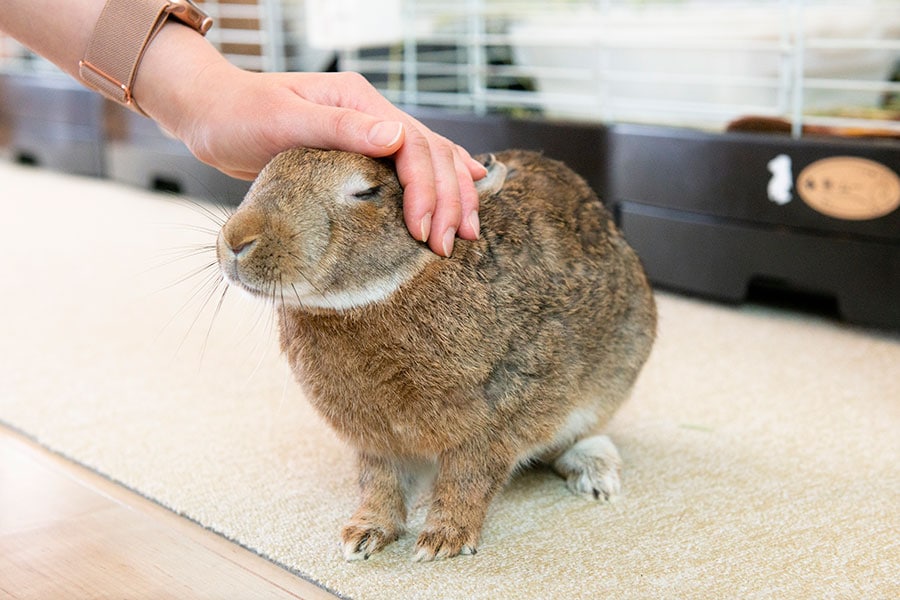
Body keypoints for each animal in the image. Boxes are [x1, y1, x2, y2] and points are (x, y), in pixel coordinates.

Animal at [216, 148, 652, 560]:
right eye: (264, 172)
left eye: (367, 192)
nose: (238, 241)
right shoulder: (377, 441)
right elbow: (380, 484)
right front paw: (364, 535)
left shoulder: (495, 418)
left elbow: (468, 479)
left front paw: (443, 540)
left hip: (608, 379)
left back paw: (597, 479)